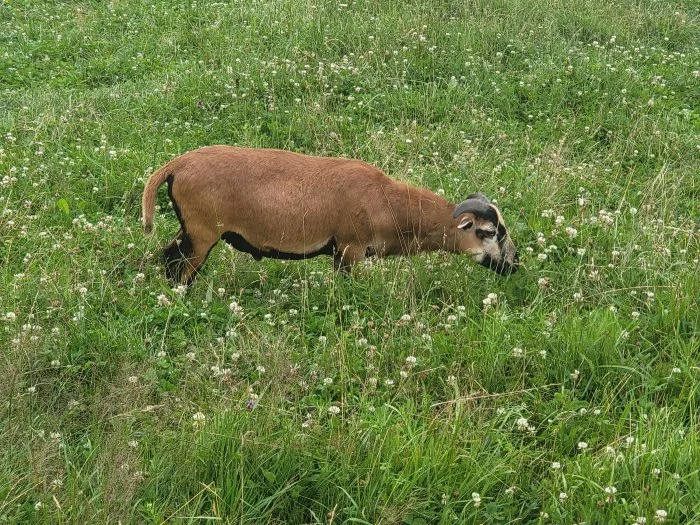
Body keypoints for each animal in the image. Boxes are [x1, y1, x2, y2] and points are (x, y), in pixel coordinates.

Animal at [141, 144, 520, 282]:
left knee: (167, 255)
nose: (514, 265)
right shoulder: (351, 247)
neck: (388, 202)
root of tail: (176, 165)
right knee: (180, 269)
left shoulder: (339, 252)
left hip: (190, 229)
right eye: (488, 232)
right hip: (203, 232)